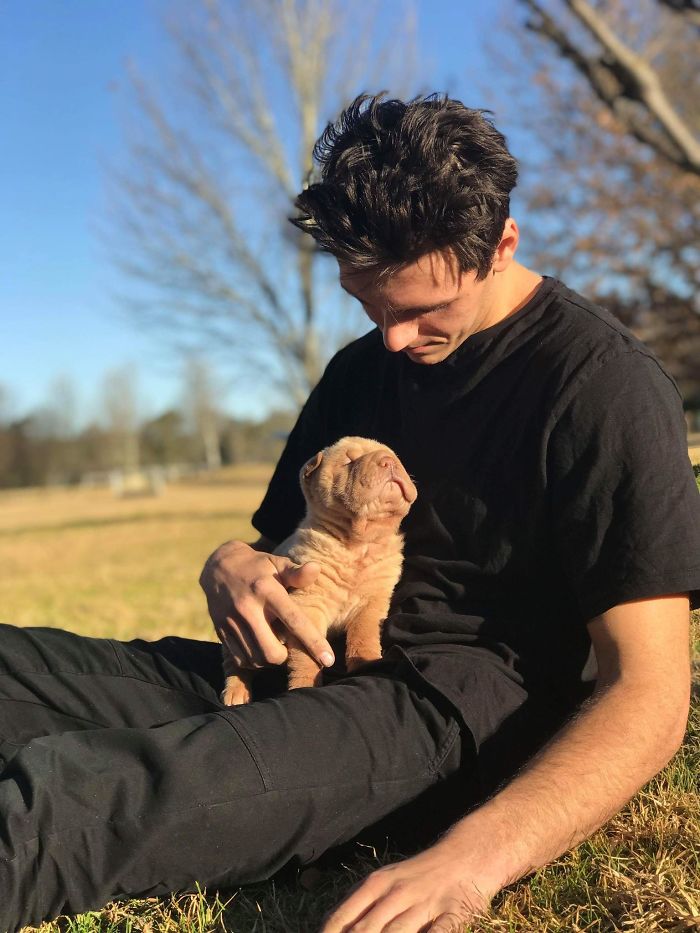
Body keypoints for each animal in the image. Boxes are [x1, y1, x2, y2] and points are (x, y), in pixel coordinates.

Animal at [220, 436, 416, 708]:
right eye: (349, 460)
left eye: (394, 456)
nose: (387, 461)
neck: (360, 544)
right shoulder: (309, 606)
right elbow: (308, 658)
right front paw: (303, 687)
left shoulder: (373, 601)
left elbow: (363, 634)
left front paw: (366, 662)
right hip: (240, 638)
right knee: (237, 665)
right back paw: (236, 693)